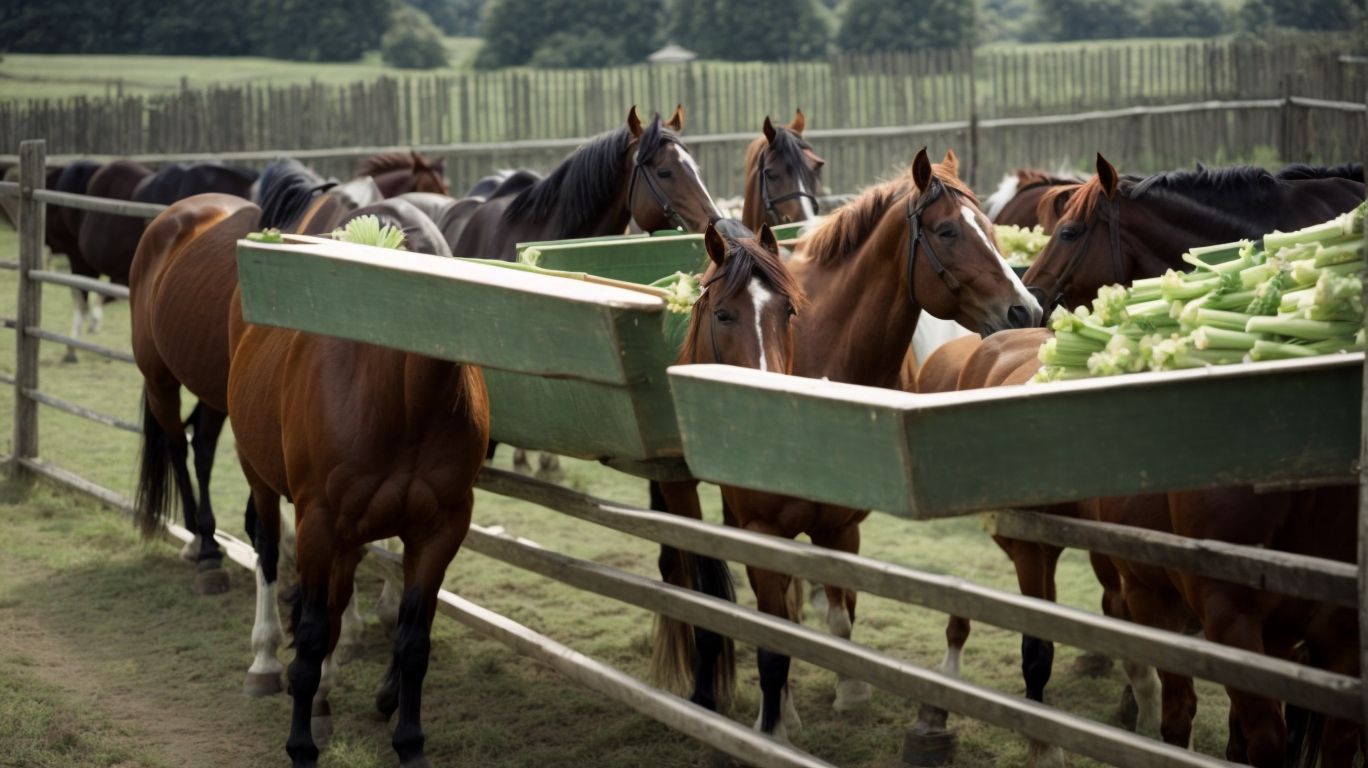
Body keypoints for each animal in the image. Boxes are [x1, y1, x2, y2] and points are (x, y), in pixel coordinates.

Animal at [225, 207, 487, 767]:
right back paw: (265, 665)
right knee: (268, 553)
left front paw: (409, 744)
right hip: (260, 476)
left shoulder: (439, 529)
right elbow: (309, 635)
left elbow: (412, 642)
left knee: (338, 599)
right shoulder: (318, 524)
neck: (402, 401)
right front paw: (301, 746)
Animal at [659, 147, 1041, 741]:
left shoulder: (842, 527)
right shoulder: (762, 525)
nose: (1025, 311)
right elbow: (774, 632)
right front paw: (774, 724)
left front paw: (849, 690)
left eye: (991, 226)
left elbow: (842, 617)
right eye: (949, 231)